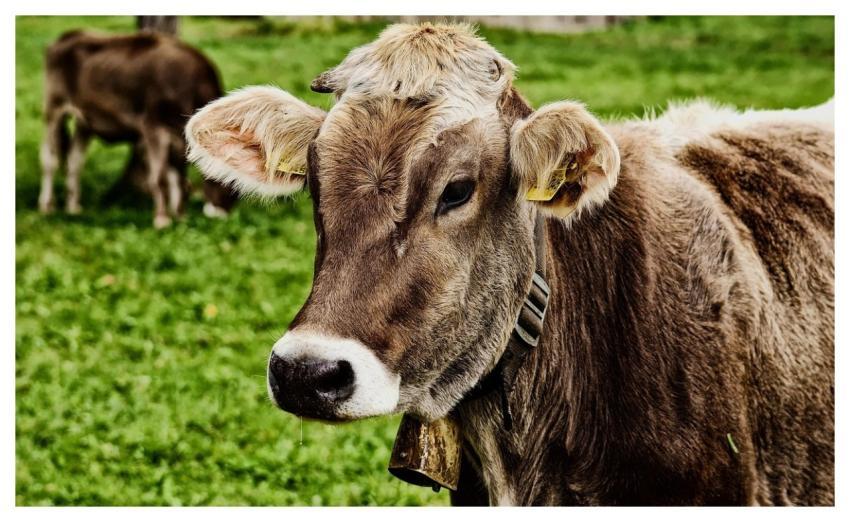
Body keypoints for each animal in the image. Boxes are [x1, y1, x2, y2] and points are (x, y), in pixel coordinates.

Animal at [39, 30, 237, 228]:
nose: (222, 214)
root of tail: (69, 34)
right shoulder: (153, 128)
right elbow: (160, 177)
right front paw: (162, 219)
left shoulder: (178, 138)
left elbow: (178, 178)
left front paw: (180, 217)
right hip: (54, 108)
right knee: (50, 158)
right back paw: (47, 206)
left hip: (84, 121)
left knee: (75, 160)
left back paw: (73, 207)